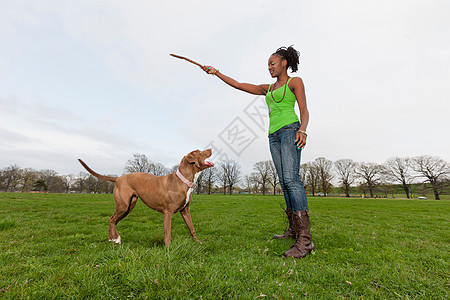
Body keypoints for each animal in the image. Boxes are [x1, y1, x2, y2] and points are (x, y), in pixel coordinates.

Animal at [78, 149, 214, 246]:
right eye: (200, 151)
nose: (211, 149)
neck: (183, 180)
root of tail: (118, 178)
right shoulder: (168, 213)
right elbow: (167, 233)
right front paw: (168, 249)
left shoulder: (185, 211)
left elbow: (192, 228)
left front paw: (197, 242)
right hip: (123, 206)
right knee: (111, 219)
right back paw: (116, 239)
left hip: (129, 206)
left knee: (113, 220)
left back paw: (111, 239)